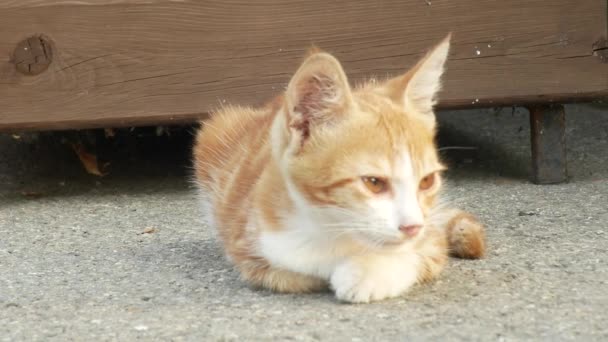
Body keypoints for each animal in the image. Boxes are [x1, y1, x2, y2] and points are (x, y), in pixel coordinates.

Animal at [192, 34, 486, 302]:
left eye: (426, 181)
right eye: (373, 182)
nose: (412, 226)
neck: (331, 227)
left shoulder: (430, 236)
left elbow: (418, 253)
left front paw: (370, 272)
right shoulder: (247, 248)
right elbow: (292, 274)